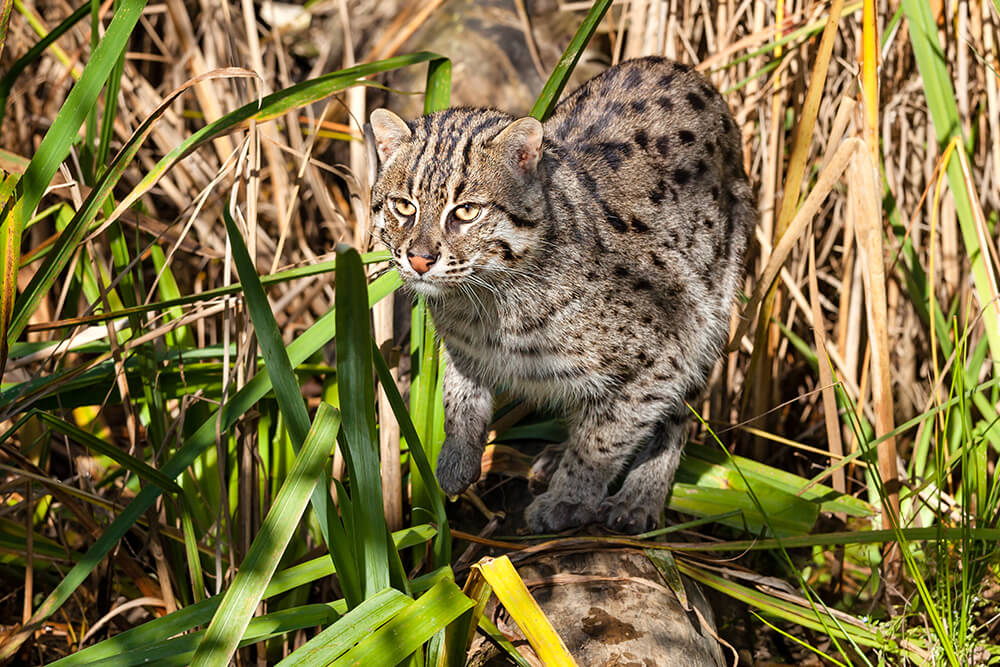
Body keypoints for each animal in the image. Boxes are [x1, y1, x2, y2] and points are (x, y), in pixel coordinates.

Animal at [372, 58, 752, 536]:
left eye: (467, 211)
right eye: (403, 206)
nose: (420, 259)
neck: (488, 300)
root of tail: (689, 71)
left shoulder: (666, 349)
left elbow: (604, 439)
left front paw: (571, 497)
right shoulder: (464, 349)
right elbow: (459, 396)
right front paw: (457, 458)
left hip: (713, 306)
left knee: (676, 415)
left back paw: (637, 499)